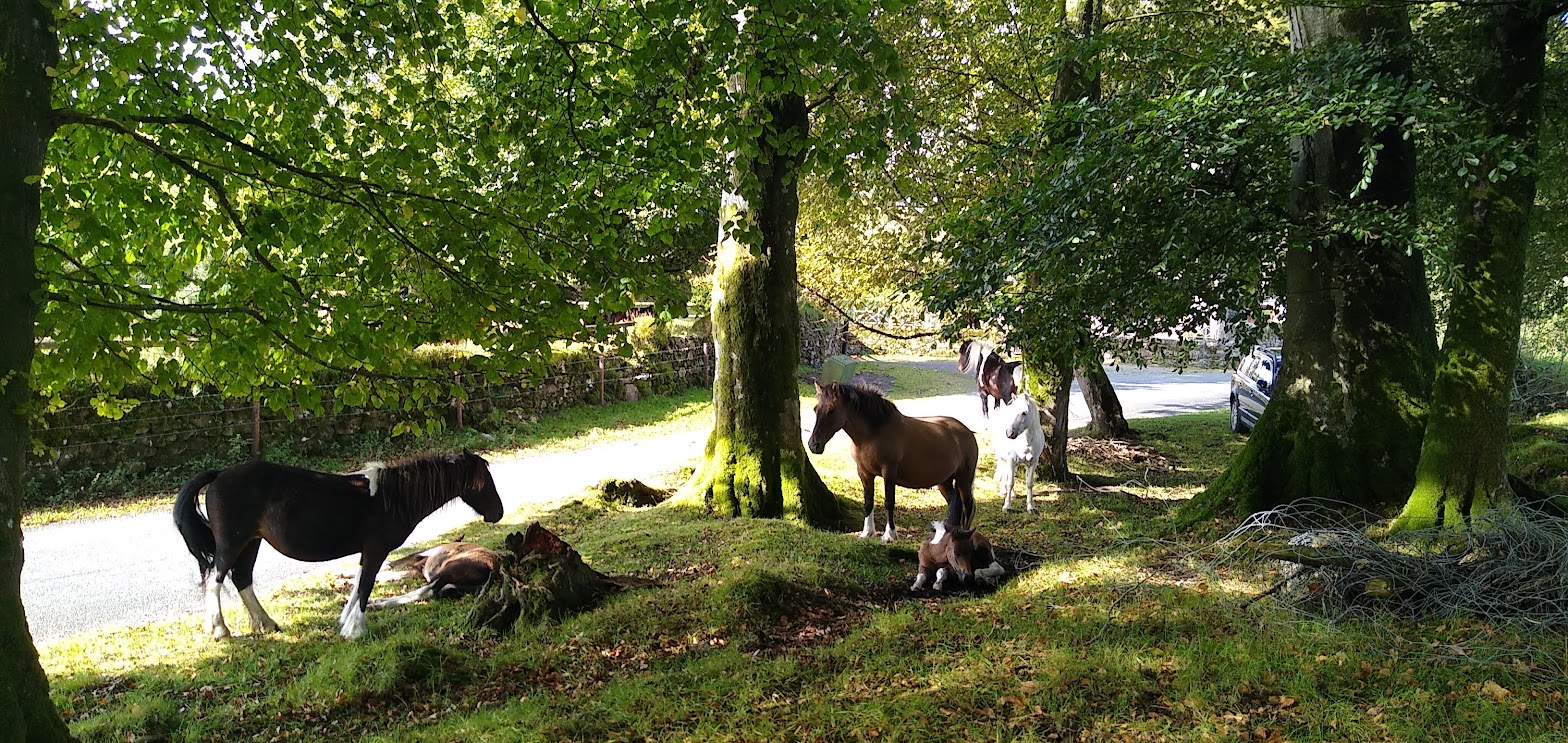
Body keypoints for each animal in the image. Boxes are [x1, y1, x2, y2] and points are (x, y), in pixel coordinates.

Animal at [369, 537, 500, 610]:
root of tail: (493, 571)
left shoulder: (417, 556)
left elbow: (390, 564)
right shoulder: (416, 570)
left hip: (448, 570)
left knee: (424, 590)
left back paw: (375, 603)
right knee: (431, 592)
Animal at [806, 382, 979, 542]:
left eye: (831, 411)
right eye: (815, 409)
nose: (814, 445)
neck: (873, 433)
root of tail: (966, 431)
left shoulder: (889, 473)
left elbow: (889, 502)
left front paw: (889, 535)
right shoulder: (864, 473)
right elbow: (868, 502)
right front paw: (867, 533)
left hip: (964, 479)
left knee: (968, 506)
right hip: (944, 481)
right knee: (954, 503)